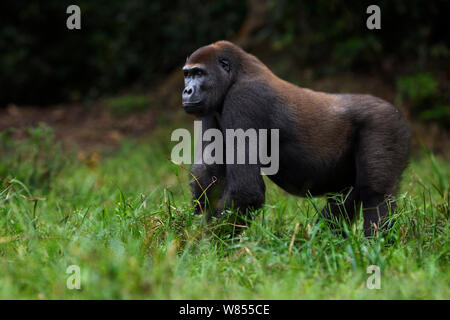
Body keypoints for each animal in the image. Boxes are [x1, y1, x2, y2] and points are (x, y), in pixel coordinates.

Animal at [181, 40, 410, 236]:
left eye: (199, 73)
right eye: (188, 74)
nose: (187, 90)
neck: (236, 74)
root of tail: (398, 112)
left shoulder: (244, 99)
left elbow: (246, 191)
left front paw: (208, 245)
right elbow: (208, 172)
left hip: (386, 126)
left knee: (376, 194)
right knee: (344, 198)